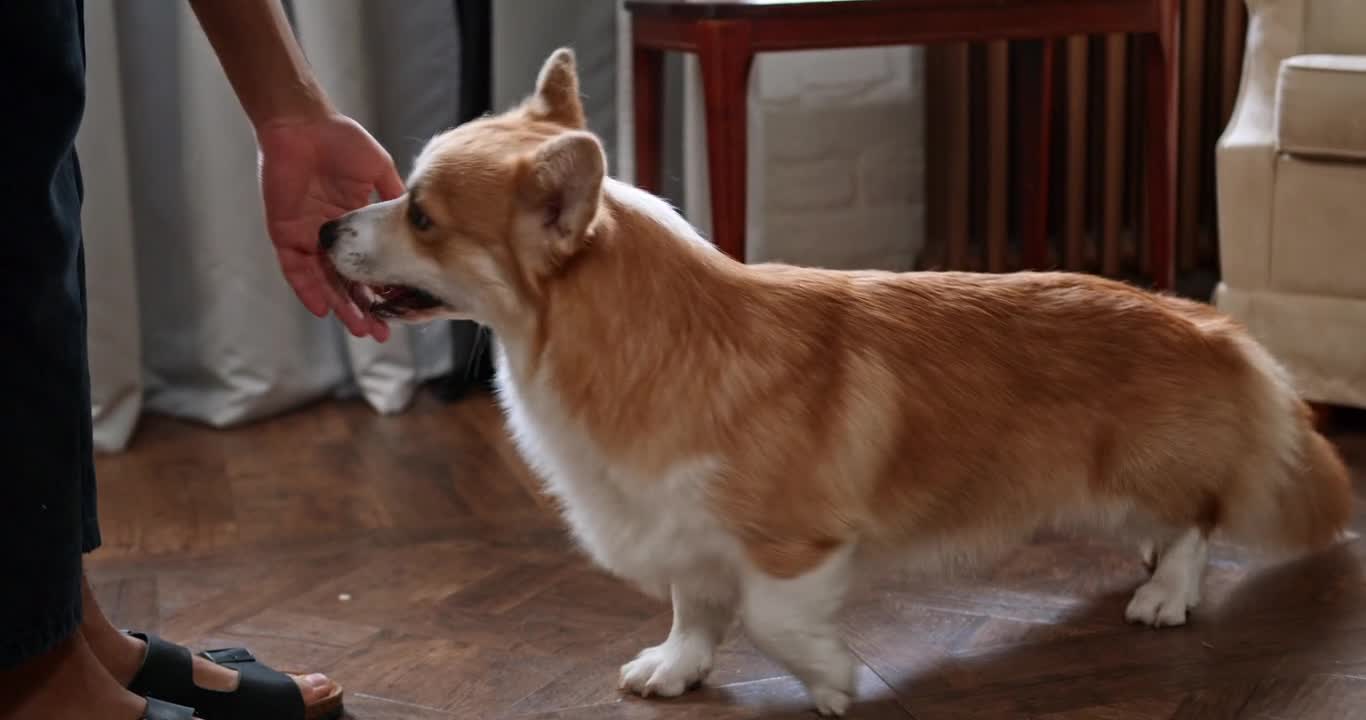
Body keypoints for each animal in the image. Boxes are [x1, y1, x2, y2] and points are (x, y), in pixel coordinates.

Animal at [319, 49, 1355, 715]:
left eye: (420, 214)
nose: (325, 228)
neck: (646, 337)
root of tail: (1212, 324)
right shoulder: (686, 532)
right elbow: (695, 608)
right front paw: (676, 669)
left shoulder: (795, 542)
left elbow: (773, 619)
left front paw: (832, 682)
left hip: (1134, 470)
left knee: (1196, 521)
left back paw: (1166, 594)